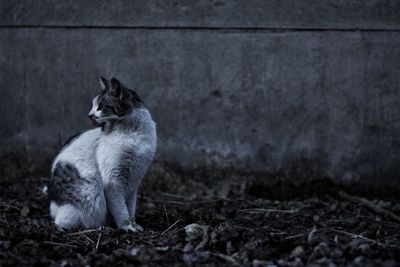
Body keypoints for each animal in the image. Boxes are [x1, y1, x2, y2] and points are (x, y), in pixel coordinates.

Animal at [48, 77, 156, 232]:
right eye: (93, 106)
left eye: (101, 106)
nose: (89, 115)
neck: (133, 133)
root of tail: (53, 206)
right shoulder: (113, 180)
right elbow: (120, 209)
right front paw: (127, 226)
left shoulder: (134, 183)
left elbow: (130, 207)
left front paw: (133, 224)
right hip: (91, 192)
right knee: (62, 222)